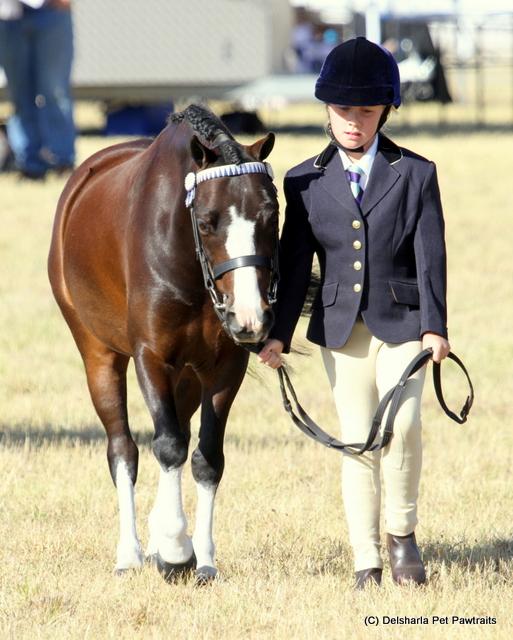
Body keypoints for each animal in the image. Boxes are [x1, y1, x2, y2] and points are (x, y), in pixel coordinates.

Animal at [48, 104, 279, 583]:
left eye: (272, 217)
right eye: (207, 222)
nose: (251, 318)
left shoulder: (224, 366)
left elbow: (207, 457)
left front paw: (201, 557)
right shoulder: (150, 357)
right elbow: (168, 445)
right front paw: (174, 550)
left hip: (187, 375)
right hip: (98, 354)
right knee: (124, 448)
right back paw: (131, 554)